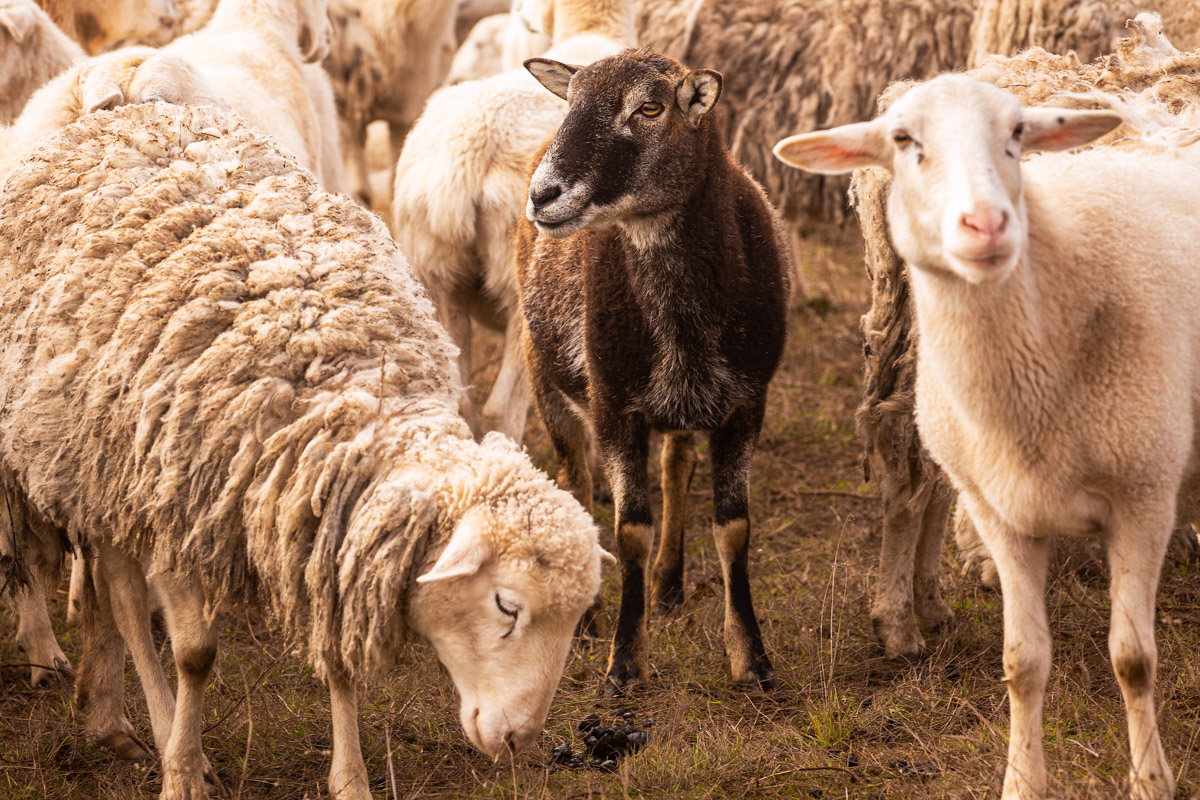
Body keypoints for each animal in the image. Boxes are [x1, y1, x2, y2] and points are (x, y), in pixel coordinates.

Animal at [0, 100, 609, 799]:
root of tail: (128, 112)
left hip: (99, 466)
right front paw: (182, 771)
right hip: (108, 470)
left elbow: (338, 659)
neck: (350, 387)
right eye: (507, 605)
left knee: (109, 591)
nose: (517, 742)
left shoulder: (325, 522)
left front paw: (351, 780)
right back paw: (150, 724)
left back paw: (104, 711)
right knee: (125, 601)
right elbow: (195, 655)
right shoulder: (181, 513)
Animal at [391, 0, 635, 443]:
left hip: (435, 274)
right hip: (522, 285)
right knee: (503, 406)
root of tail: (469, 152)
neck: (591, 34)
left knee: (461, 397)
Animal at [518, 47, 790, 693]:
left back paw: (668, 585)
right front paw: (624, 661)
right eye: (572, 101)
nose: (544, 195)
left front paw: (752, 659)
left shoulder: (748, 402)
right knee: (575, 481)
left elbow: (734, 527)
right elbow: (629, 530)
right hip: (547, 377)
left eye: (650, 107)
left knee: (676, 464)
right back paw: (589, 619)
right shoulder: (615, 404)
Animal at [775, 64, 1200, 798]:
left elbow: (1133, 659)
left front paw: (1150, 781)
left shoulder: (1144, 497)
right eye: (903, 139)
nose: (986, 223)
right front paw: (1022, 782)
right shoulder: (1002, 511)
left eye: (1018, 134)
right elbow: (1022, 662)